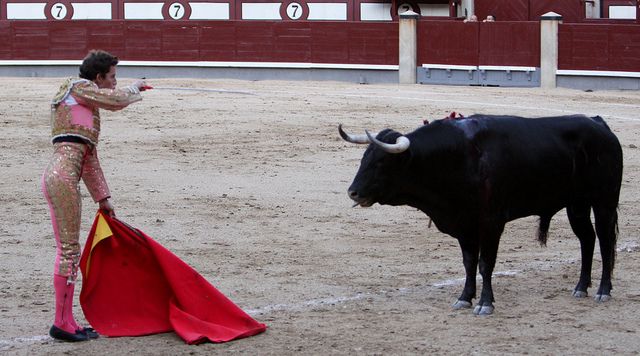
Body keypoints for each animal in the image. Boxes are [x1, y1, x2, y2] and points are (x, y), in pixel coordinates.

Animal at [342, 114, 624, 314]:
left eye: (381, 161)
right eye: (364, 157)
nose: (353, 192)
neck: (458, 157)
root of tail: (600, 125)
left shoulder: (491, 223)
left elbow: (485, 263)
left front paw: (485, 303)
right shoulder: (464, 225)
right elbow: (469, 263)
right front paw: (465, 298)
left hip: (604, 201)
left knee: (605, 240)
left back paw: (603, 291)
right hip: (577, 204)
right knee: (587, 240)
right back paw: (581, 288)